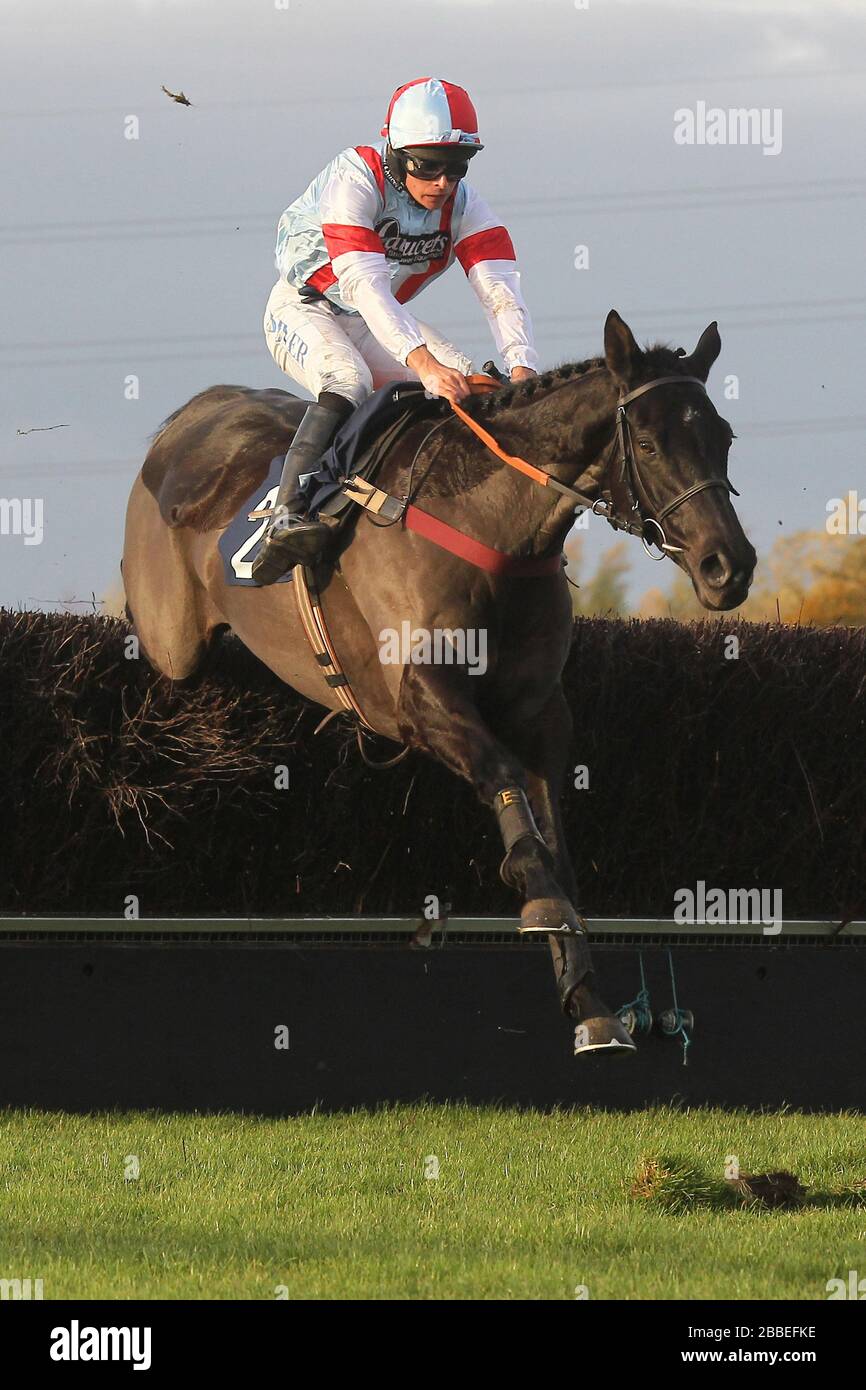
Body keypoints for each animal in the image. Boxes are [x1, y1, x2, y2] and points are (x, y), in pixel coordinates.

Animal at [123, 312, 756, 1050]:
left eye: (723, 437)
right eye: (650, 444)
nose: (728, 566)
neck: (494, 528)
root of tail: (191, 414)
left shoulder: (539, 711)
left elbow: (555, 838)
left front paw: (591, 1002)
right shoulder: (419, 698)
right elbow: (506, 784)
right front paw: (539, 899)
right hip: (171, 641)